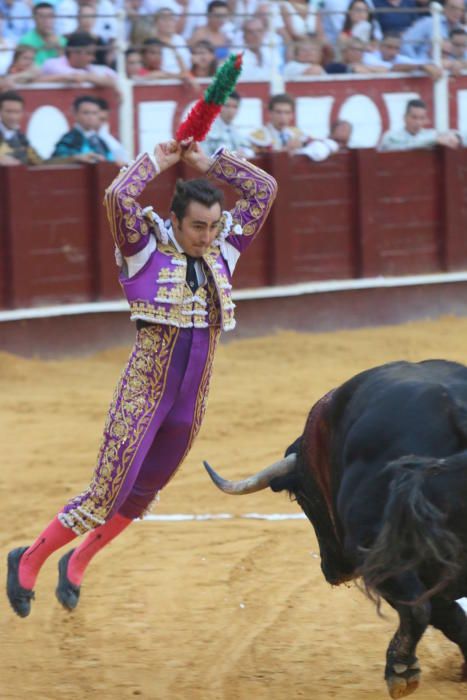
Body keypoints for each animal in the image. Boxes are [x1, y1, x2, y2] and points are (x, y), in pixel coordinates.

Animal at [207, 360, 467, 700]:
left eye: (301, 496)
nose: (333, 570)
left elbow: (442, 612)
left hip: (374, 552)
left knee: (418, 608)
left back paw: (399, 670)